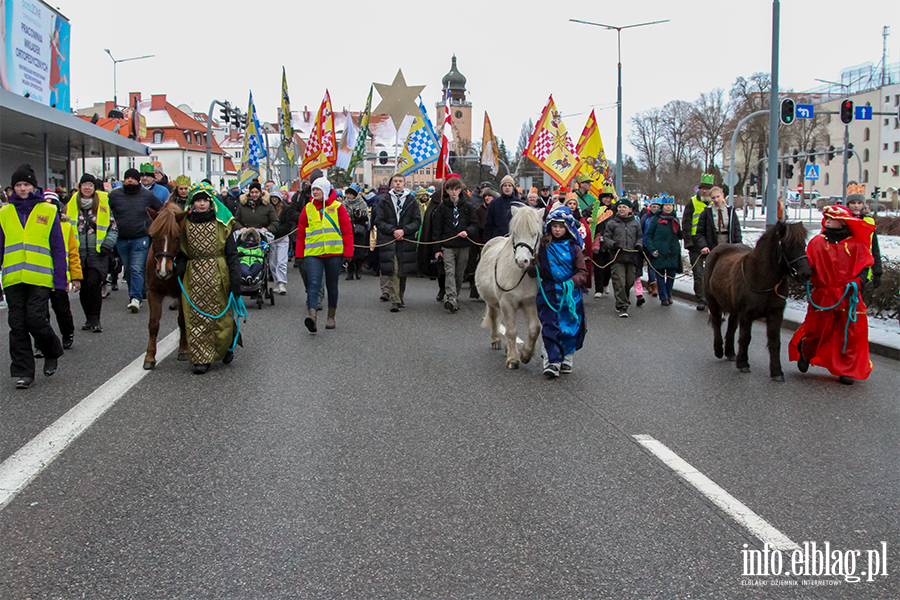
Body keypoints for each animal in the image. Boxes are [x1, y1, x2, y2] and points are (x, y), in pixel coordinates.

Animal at [143, 204, 189, 368]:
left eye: (177, 237)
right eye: (153, 236)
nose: (163, 271)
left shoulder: (182, 292)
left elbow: (182, 321)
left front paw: (183, 350)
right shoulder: (153, 292)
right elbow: (153, 323)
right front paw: (149, 357)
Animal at [478, 207, 540, 370]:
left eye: (534, 233)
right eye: (515, 233)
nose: (522, 261)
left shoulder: (531, 303)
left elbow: (535, 328)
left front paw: (525, 355)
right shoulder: (506, 302)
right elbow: (511, 331)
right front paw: (513, 359)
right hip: (493, 302)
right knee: (495, 317)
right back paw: (496, 341)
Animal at [704, 223, 816, 382]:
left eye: (803, 244)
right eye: (787, 244)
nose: (806, 273)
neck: (763, 278)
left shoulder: (775, 314)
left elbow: (775, 341)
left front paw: (777, 372)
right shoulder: (746, 314)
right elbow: (745, 338)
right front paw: (743, 364)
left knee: (731, 326)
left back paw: (730, 352)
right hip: (713, 301)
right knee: (716, 322)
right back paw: (719, 350)